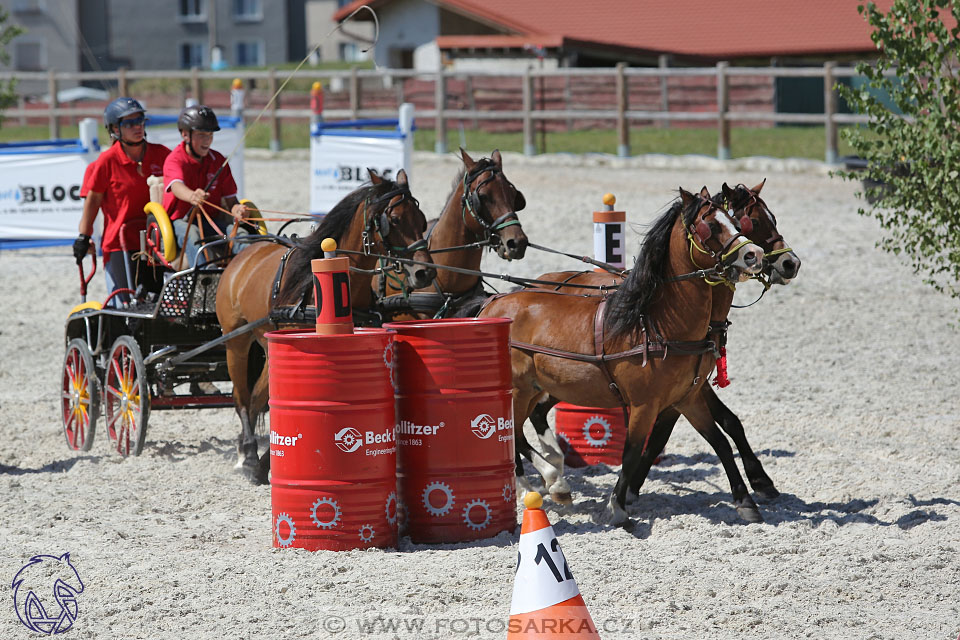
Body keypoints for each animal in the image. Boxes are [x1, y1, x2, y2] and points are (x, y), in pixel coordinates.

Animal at [217, 170, 436, 480]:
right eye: (393, 220)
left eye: (421, 218)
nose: (425, 272)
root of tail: (244, 255)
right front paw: (261, 462)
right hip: (236, 343)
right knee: (243, 398)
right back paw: (247, 453)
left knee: (258, 397)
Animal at [478, 186, 764, 524]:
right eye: (710, 225)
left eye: (736, 221)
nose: (755, 254)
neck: (657, 324)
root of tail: (492, 304)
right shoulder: (644, 404)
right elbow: (631, 451)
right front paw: (616, 506)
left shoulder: (687, 398)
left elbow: (719, 441)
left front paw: (746, 501)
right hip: (519, 391)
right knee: (512, 434)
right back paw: (549, 482)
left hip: (535, 389)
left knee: (519, 432)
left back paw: (550, 482)